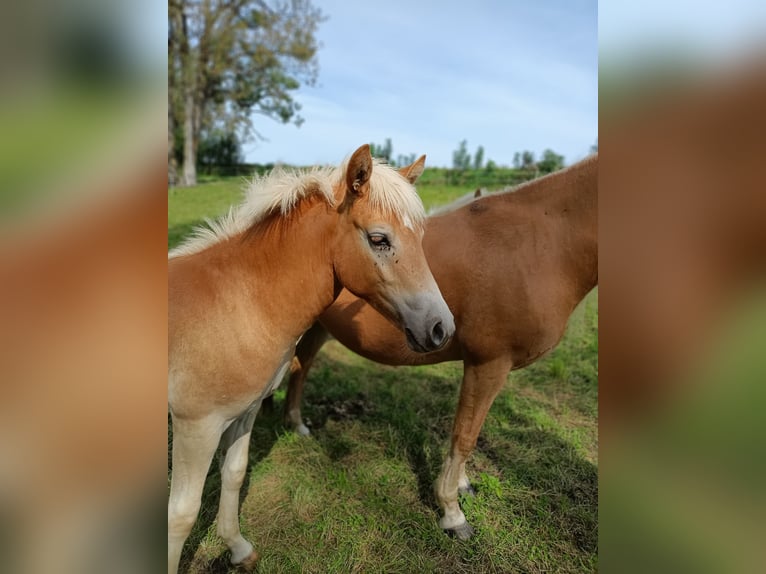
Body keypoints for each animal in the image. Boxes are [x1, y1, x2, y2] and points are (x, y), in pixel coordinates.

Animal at [169, 144, 456, 572]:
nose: (442, 328)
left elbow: (234, 475)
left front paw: (238, 548)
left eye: (420, 237)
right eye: (379, 239)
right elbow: (182, 515)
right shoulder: (196, 427)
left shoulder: (243, 414)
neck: (239, 303)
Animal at [282, 155, 600, 544]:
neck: (540, 243)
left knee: (301, 367)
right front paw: (452, 512)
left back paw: (294, 422)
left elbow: (465, 432)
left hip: (316, 329)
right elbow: (465, 436)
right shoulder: (488, 364)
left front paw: (461, 485)